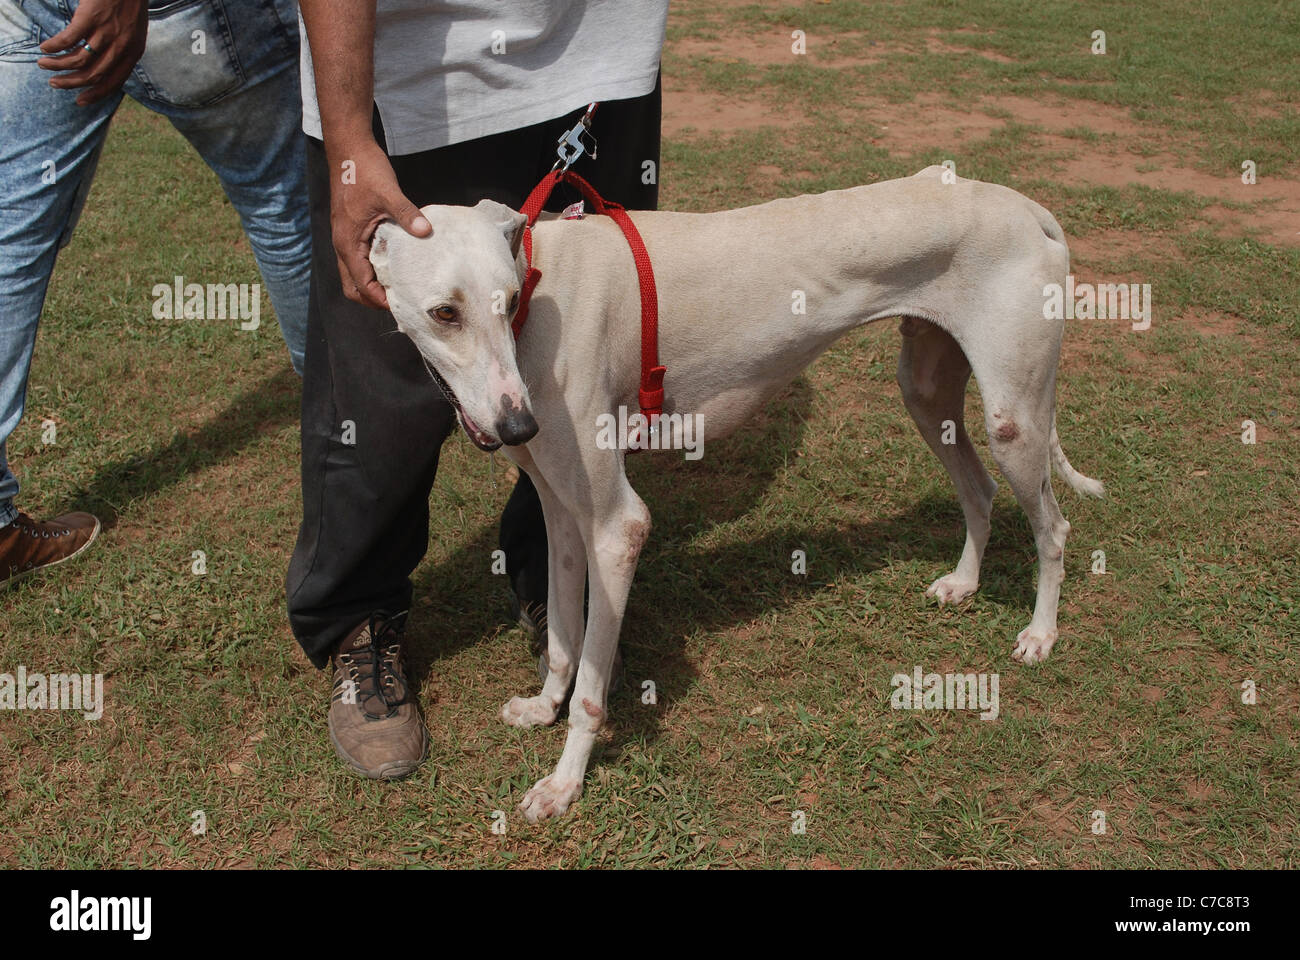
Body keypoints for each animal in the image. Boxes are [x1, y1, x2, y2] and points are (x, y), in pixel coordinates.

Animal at [371, 164, 1102, 816]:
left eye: (508, 303)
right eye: (444, 312)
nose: (517, 424)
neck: (541, 277)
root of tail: (1026, 207)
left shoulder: (616, 526)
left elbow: (591, 689)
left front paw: (564, 784)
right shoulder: (562, 513)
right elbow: (561, 639)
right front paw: (543, 706)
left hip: (1014, 419)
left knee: (1054, 527)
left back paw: (1040, 634)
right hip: (928, 393)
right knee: (979, 491)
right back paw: (964, 583)